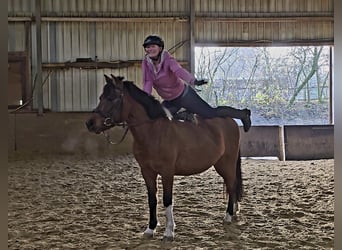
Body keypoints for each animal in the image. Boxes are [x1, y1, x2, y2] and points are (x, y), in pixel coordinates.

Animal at [85, 74, 243, 240]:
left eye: (111, 98)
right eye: (101, 97)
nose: (90, 123)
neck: (153, 132)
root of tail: (231, 121)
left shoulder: (167, 172)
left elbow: (167, 200)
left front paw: (169, 231)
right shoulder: (147, 172)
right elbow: (152, 199)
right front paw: (151, 228)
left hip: (226, 164)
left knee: (232, 185)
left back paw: (228, 215)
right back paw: (234, 211)